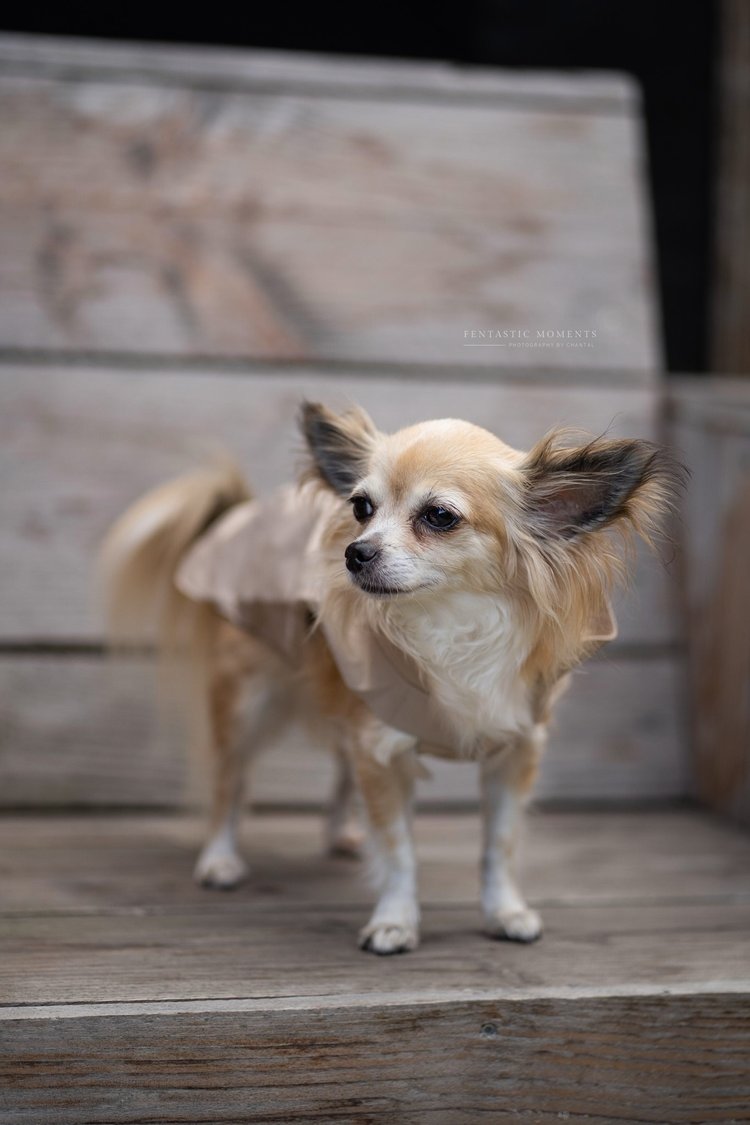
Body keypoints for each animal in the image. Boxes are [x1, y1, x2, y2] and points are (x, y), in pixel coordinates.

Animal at [98, 400, 679, 954]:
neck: (450, 623)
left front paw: (505, 912)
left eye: (439, 516)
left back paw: (339, 833)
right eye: (361, 508)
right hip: (246, 705)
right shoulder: (379, 748)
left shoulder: (514, 749)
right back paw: (219, 859)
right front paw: (395, 922)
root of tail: (241, 513)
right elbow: (399, 851)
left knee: (338, 768)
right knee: (229, 782)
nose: (354, 552)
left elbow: (500, 845)